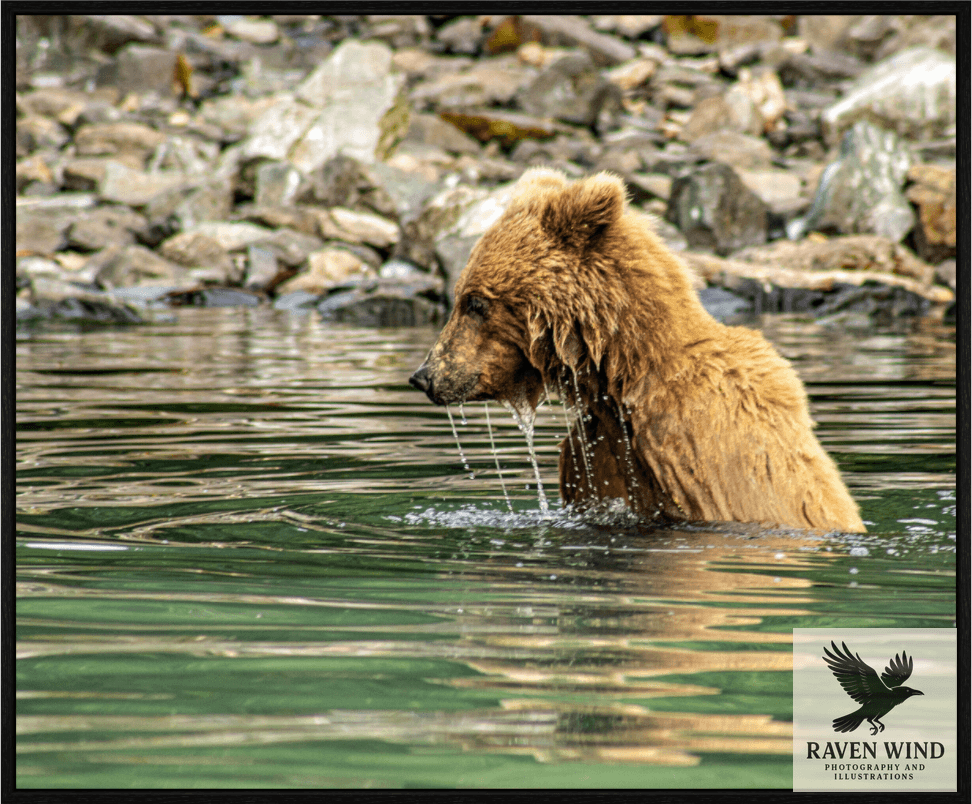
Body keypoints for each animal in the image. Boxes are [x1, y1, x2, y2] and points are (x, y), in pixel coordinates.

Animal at [409, 168, 866, 533]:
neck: (622, 374)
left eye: (475, 302)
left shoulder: (700, 452)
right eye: (460, 295)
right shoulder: (594, 454)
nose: (425, 376)